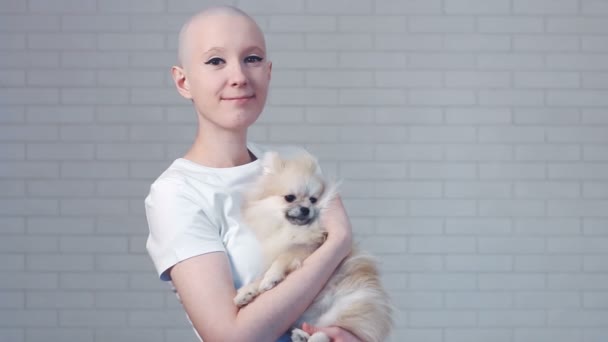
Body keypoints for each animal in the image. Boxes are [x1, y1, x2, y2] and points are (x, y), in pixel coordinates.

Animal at [235, 151, 392, 342]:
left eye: (313, 200)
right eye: (290, 198)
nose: (305, 209)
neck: (292, 229)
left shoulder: (308, 247)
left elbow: (282, 258)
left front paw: (271, 277)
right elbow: (260, 276)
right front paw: (248, 291)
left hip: (349, 304)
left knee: (329, 332)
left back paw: (313, 337)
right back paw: (301, 335)